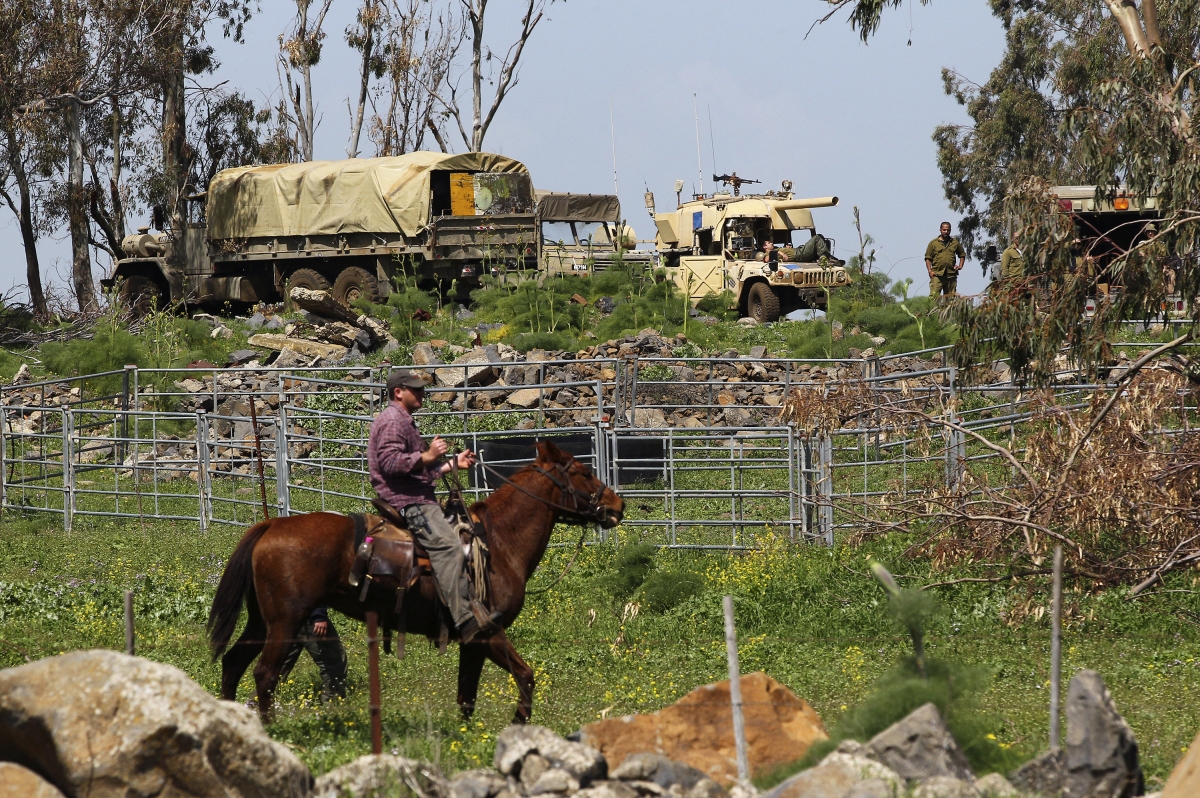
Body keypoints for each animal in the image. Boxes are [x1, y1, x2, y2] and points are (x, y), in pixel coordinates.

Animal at [205, 439, 624, 724]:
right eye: (584, 472)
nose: (618, 506)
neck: (498, 540)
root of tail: (271, 525)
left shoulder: (472, 642)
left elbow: (466, 696)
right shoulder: (487, 631)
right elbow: (526, 676)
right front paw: (518, 724)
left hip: (262, 622)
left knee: (233, 663)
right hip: (286, 622)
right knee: (264, 674)